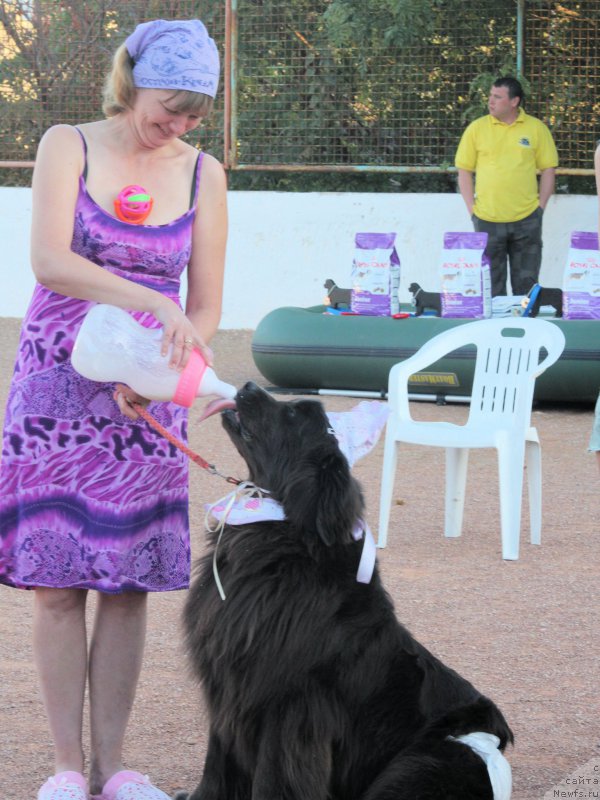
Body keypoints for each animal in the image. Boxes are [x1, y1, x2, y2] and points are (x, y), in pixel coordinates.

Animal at [176, 382, 512, 800]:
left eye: (291, 415)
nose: (250, 386)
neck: (278, 532)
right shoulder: (228, 687)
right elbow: (217, 761)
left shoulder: (288, 705)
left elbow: (274, 775)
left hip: (419, 763)